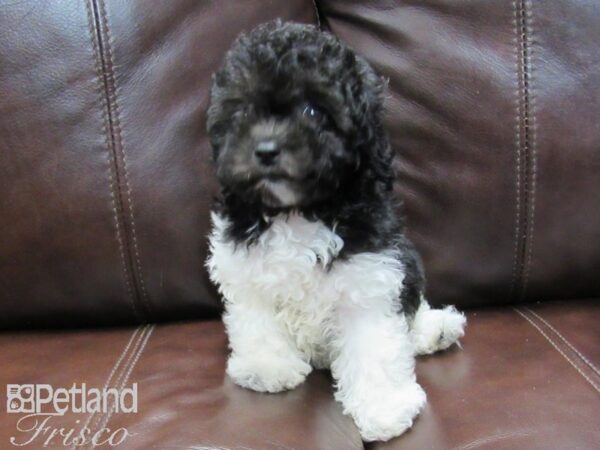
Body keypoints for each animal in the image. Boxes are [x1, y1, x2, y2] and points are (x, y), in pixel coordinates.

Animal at [205, 20, 464, 440]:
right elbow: (256, 320)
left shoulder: (369, 274)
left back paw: (437, 329)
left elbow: (375, 344)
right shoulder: (244, 270)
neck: (297, 211)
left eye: (313, 110)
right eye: (242, 108)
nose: (265, 149)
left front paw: (384, 407)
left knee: (413, 310)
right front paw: (267, 367)